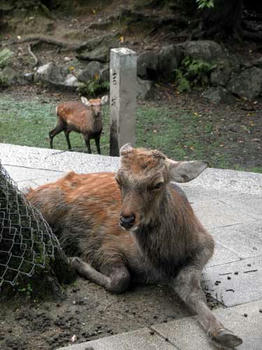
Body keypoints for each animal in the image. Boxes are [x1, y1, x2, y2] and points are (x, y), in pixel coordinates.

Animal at [26, 144, 242, 348]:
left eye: (157, 184)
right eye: (118, 180)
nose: (126, 219)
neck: (164, 261)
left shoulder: (203, 252)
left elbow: (192, 291)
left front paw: (224, 333)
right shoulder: (104, 244)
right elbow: (121, 279)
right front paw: (76, 261)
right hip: (45, 206)